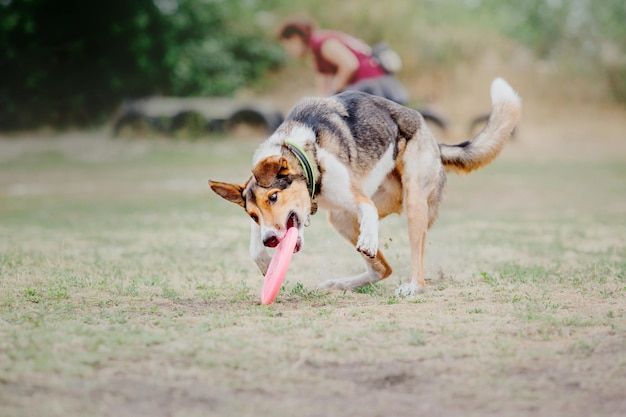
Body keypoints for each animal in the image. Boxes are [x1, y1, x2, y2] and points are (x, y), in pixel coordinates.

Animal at [207, 77, 520, 292]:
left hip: (413, 203)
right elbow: (253, 242)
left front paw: (369, 238)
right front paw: (262, 259)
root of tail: (435, 141)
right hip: (342, 218)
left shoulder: (356, 197)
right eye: (252, 214)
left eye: (273, 197)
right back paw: (341, 284)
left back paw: (412, 286)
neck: (307, 154)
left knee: (411, 256)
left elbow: (367, 209)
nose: (271, 240)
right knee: (383, 269)